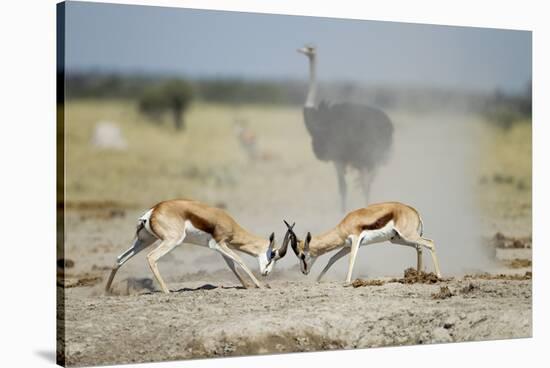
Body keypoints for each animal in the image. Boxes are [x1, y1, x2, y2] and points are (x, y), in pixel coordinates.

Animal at [104, 198, 294, 294]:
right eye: (273, 255)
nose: (266, 273)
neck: (227, 222)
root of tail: (152, 211)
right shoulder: (218, 244)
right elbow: (239, 260)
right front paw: (259, 285)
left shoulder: (221, 248)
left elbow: (232, 265)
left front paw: (246, 285)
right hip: (171, 241)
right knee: (151, 257)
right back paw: (167, 291)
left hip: (145, 241)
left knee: (119, 259)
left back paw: (106, 292)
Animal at [286, 201, 442, 284]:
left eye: (302, 255)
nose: (303, 271)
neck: (343, 226)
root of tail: (413, 210)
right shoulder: (347, 246)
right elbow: (332, 258)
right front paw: (318, 279)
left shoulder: (355, 241)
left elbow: (352, 259)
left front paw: (347, 281)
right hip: (398, 239)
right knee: (419, 247)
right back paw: (418, 276)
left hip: (407, 236)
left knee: (430, 243)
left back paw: (439, 276)